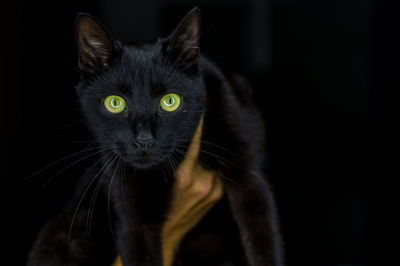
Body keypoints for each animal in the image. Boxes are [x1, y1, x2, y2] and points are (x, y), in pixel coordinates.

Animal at [27, 7, 284, 264]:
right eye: (115, 103)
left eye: (170, 101)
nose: (144, 140)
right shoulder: (131, 207)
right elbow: (139, 248)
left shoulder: (247, 174)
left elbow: (262, 237)